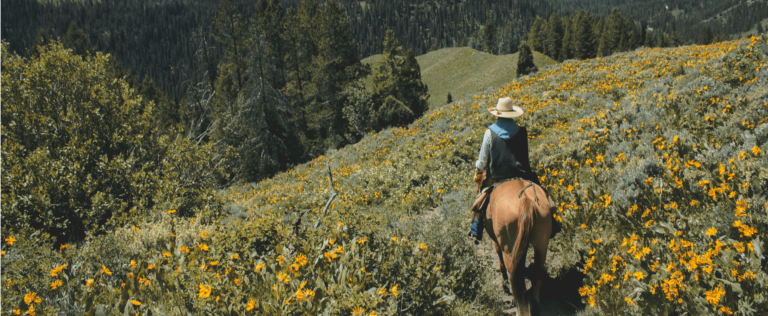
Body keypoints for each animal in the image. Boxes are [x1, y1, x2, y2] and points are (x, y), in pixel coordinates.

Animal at [486, 180, 552, 316]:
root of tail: (526, 201)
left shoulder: (497, 242)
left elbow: (501, 262)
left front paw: (504, 286)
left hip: (509, 248)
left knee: (514, 275)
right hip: (541, 245)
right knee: (537, 272)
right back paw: (534, 304)